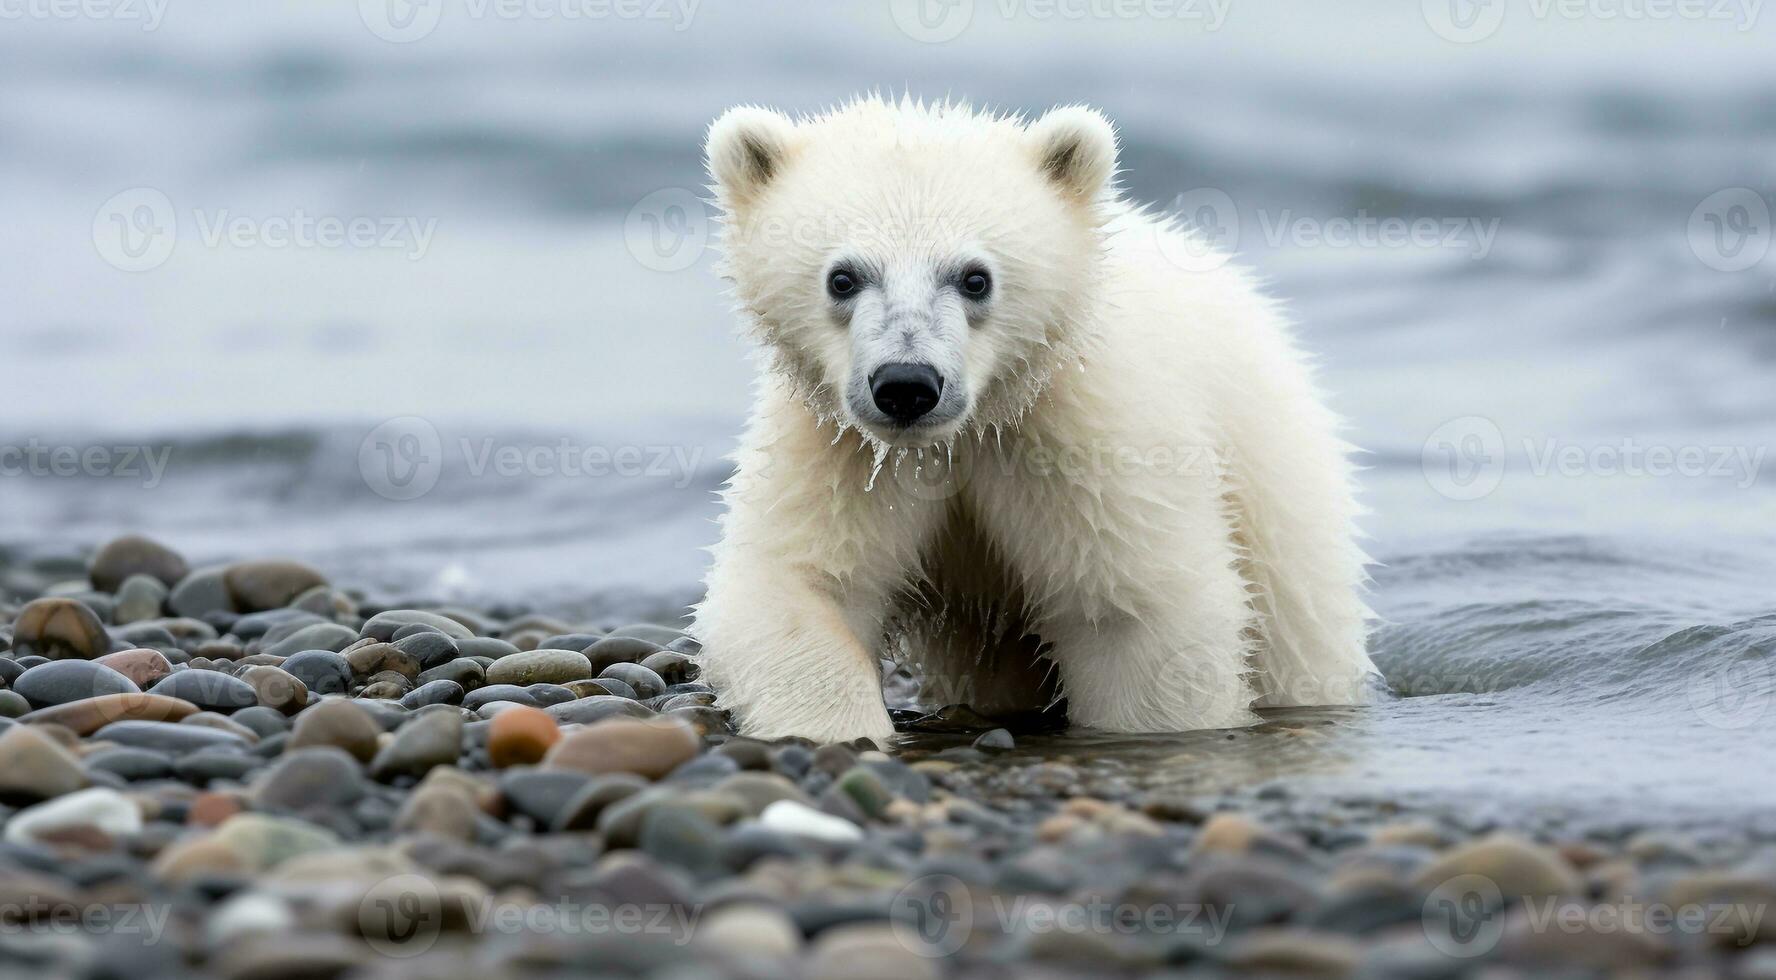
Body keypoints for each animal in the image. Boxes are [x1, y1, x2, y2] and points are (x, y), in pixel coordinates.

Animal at [689, 99, 1371, 742]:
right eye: (843, 277)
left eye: (975, 278)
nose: (907, 385)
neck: (970, 428)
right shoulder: (840, 448)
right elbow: (798, 583)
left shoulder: (1085, 437)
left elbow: (1138, 609)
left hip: (1279, 503)